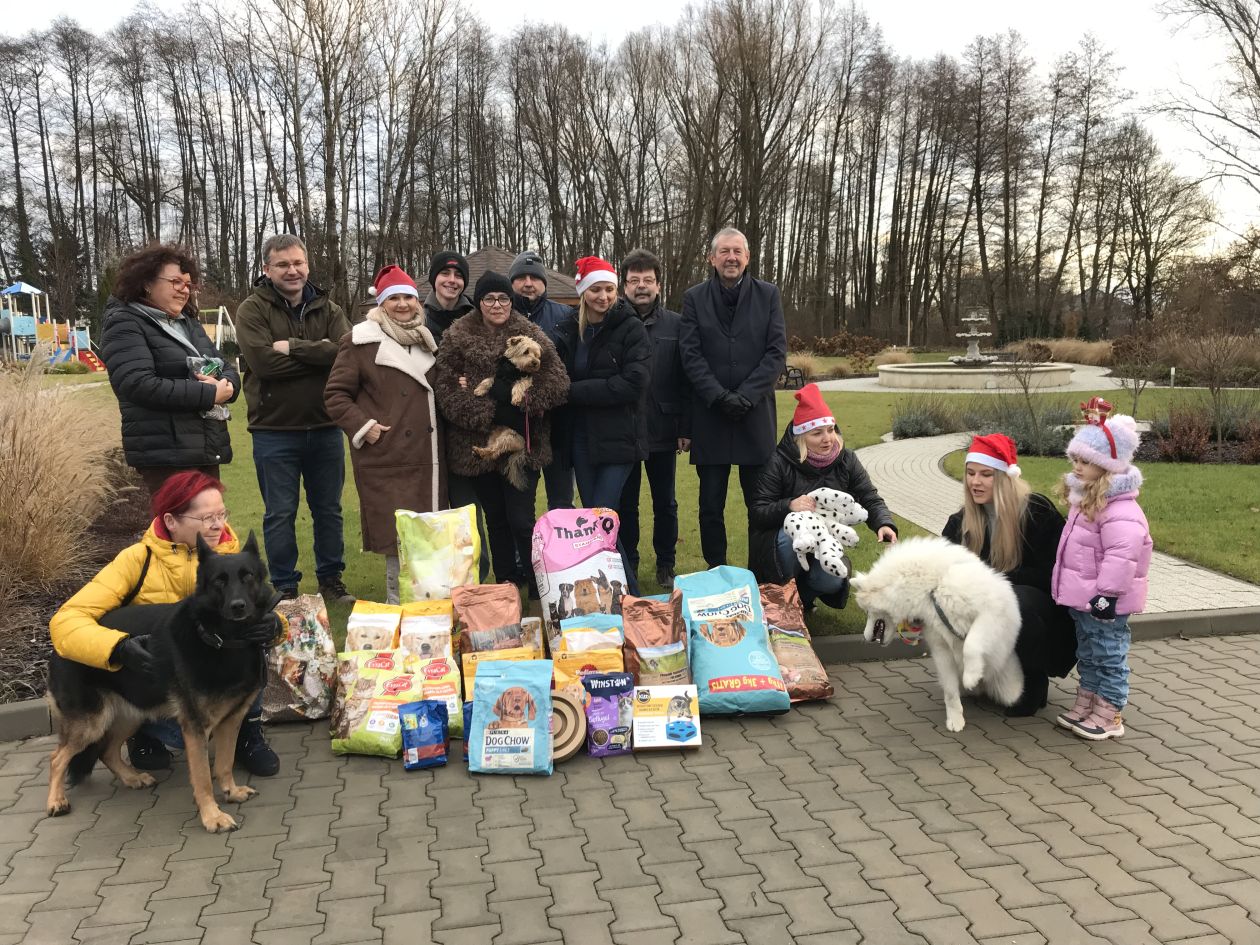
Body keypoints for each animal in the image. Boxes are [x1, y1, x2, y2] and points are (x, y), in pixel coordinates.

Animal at [46, 536, 280, 831]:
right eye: (219, 581)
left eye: (247, 576)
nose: (238, 606)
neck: (222, 639)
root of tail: (59, 646)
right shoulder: (195, 728)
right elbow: (203, 777)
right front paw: (212, 816)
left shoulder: (231, 720)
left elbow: (224, 763)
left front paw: (231, 791)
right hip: (92, 723)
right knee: (57, 758)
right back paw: (56, 801)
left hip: (131, 715)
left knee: (107, 751)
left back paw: (132, 777)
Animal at [851, 539, 1018, 730]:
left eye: (866, 612)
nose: (865, 637)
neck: (933, 588)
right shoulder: (941, 649)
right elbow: (950, 691)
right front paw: (955, 720)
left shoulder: (990, 611)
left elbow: (971, 644)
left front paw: (971, 676)